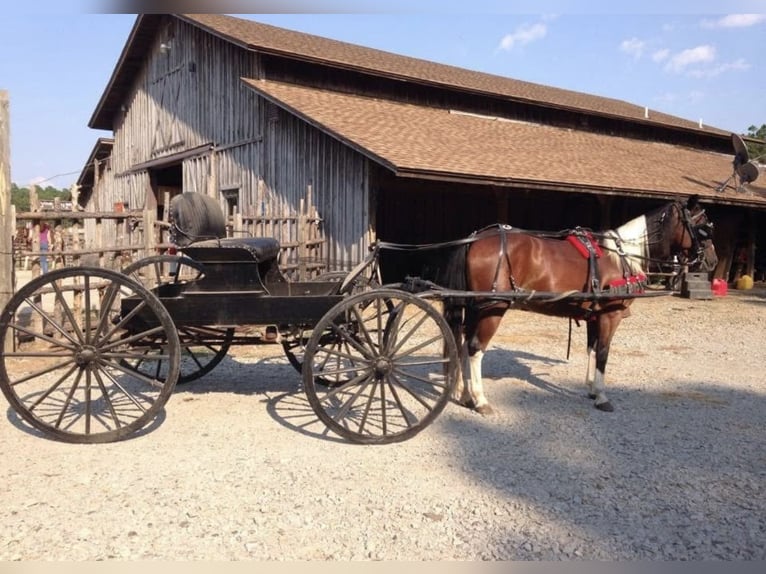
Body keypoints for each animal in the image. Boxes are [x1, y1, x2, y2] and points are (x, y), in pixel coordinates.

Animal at [438, 195, 718, 415]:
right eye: (703, 226)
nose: (712, 261)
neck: (622, 257)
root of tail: (475, 238)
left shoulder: (595, 315)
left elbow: (592, 350)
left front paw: (592, 389)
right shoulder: (610, 315)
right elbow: (603, 352)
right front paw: (602, 397)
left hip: (475, 309)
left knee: (462, 345)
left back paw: (464, 394)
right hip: (492, 309)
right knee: (474, 349)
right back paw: (480, 400)